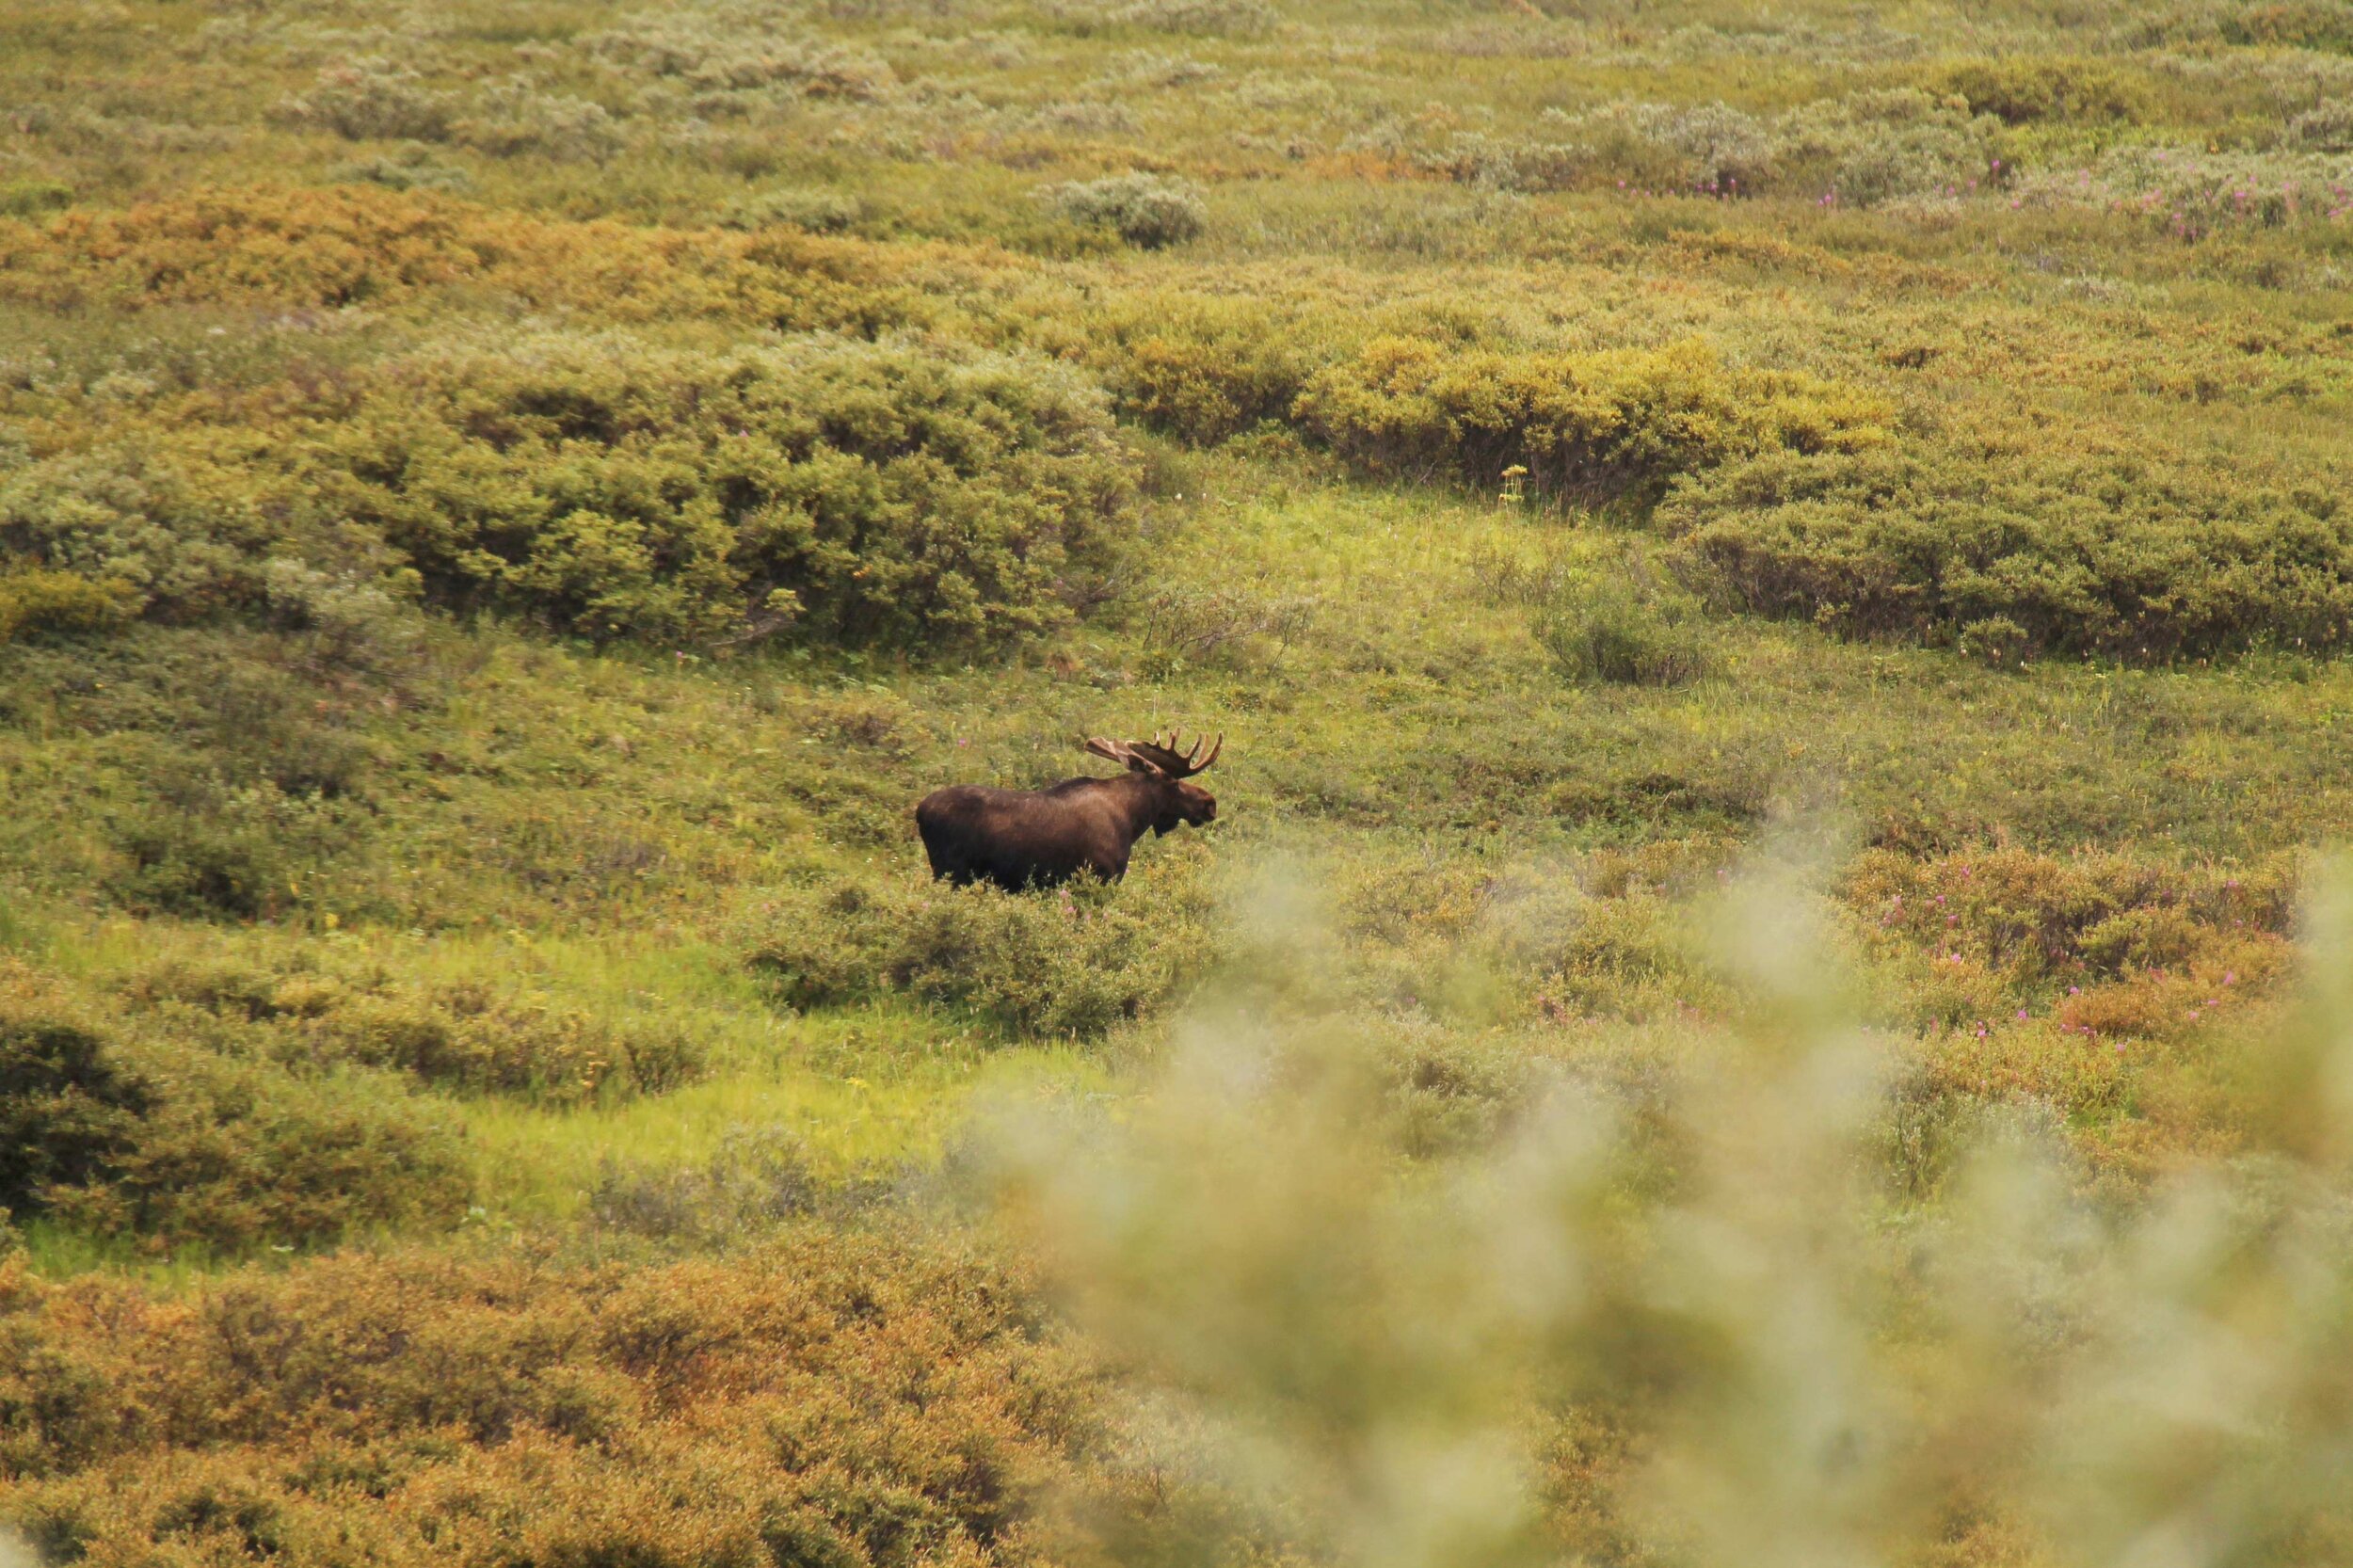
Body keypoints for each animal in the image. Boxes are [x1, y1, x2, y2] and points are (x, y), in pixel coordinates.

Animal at [908, 725, 1224, 885]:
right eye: (1172, 781)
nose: (1209, 803)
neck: (1133, 819)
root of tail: (920, 811)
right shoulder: (1101, 876)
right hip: (950, 870)